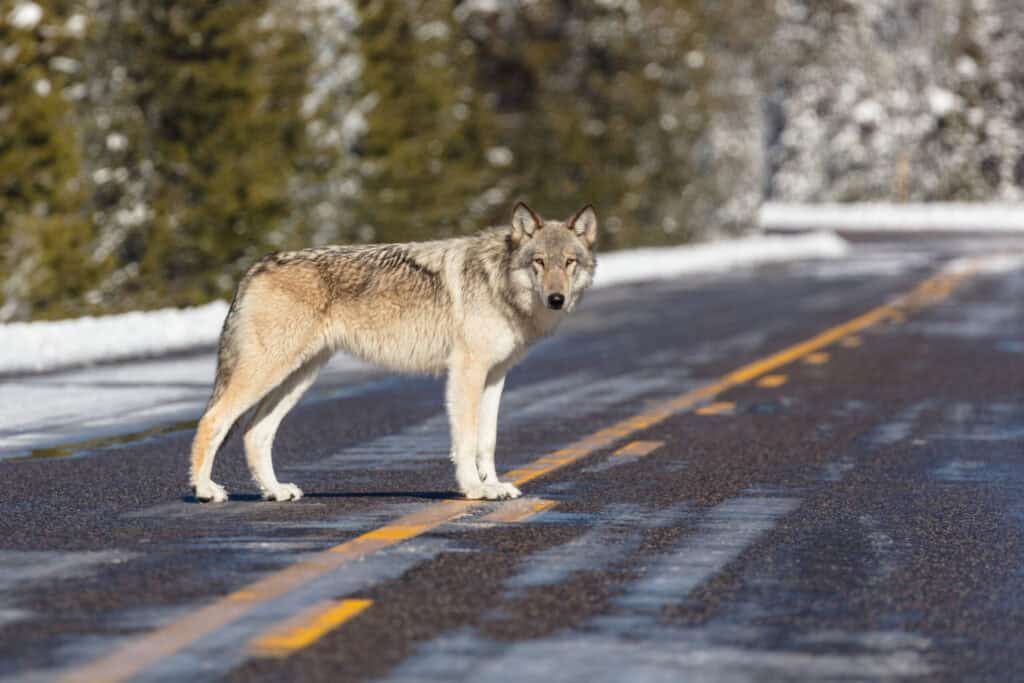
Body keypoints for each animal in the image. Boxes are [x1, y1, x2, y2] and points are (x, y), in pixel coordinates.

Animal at [189, 203, 598, 503]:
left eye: (569, 262)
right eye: (539, 262)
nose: (556, 299)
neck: (499, 282)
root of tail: (256, 267)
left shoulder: (495, 375)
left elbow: (488, 441)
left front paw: (493, 485)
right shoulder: (466, 372)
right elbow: (466, 440)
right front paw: (474, 489)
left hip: (298, 378)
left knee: (254, 433)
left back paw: (275, 491)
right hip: (268, 373)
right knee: (213, 419)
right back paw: (206, 490)